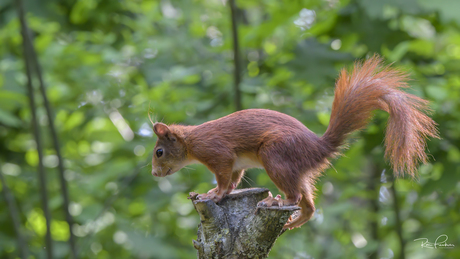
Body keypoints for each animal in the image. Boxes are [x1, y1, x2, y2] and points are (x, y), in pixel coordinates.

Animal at [150, 56, 438, 230]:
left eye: (159, 151)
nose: (154, 173)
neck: (191, 142)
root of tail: (318, 147)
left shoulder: (217, 152)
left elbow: (223, 177)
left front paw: (214, 194)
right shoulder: (236, 164)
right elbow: (233, 180)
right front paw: (217, 193)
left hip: (276, 156)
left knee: (295, 195)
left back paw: (275, 202)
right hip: (297, 170)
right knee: (309, 203)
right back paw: (295, 221)